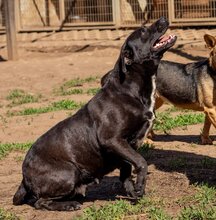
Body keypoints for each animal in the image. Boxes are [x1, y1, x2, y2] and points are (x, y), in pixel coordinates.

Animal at [12, 16, 176, 210]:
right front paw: (140, 186)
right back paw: (69, 205)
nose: (163, 18)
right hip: (69, 172)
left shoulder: (126, 146)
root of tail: (24, 176)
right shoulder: (112, 140)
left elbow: (126, 172)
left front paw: (132, 194)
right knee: (40, 201)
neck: (131, 89)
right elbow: (141, 162)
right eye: (143, 31)